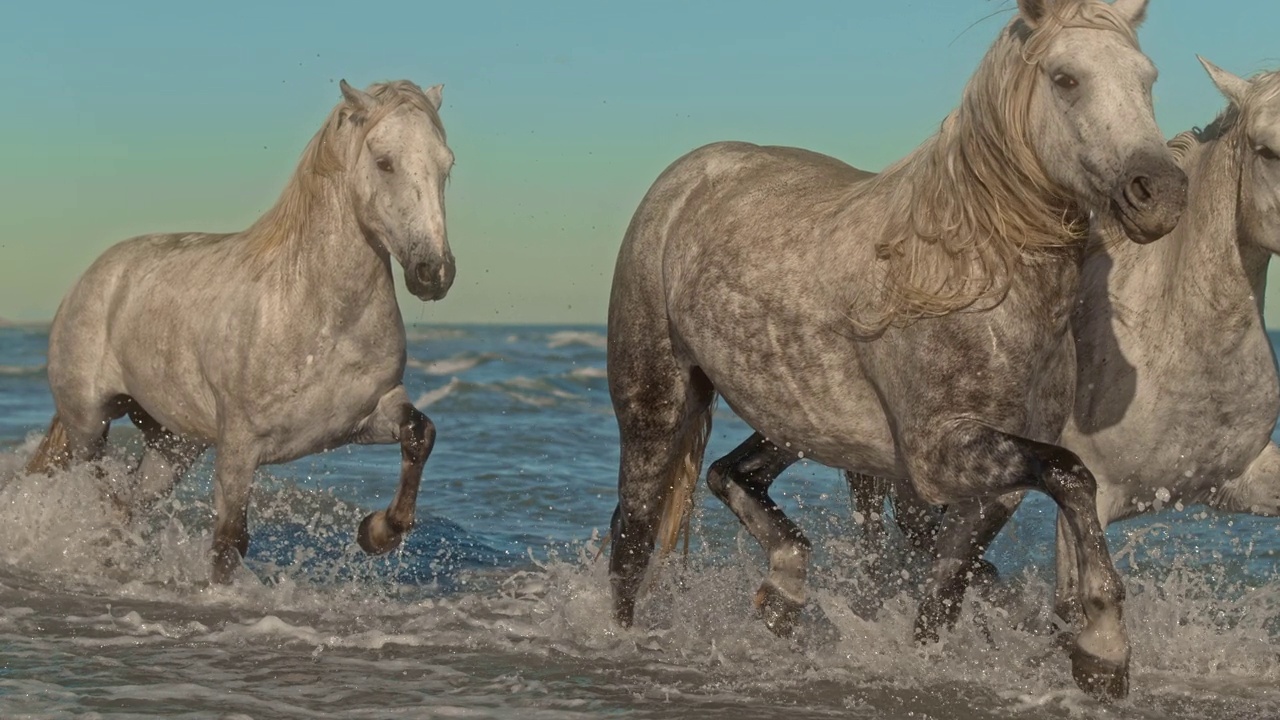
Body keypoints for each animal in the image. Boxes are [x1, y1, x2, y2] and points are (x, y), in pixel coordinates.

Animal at [24, 78, 458, 584]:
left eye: (446, 165)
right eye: (384, 162)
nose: (434, 273)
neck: (319, 317)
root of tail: (93, 277)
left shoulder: (366, 414)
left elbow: (420, 433)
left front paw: (377, 532)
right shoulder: (239, 445)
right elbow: (229, 541)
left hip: (173, 445)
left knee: (125, 505)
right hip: (88, 426)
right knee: (94, 493)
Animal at [604, 0, 1182, 696]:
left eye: (1147, 78)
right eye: (1066, 78)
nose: (1160, 192)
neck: (974, 275)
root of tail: (687, 175)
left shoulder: (992, 486)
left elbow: (942, 594)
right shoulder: (942, 453)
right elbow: (1071, 475)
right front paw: (1103, 650)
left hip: (801, 420)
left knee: (729, 475)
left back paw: (785, 592)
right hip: (655, 402)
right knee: (633, 534)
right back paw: (626, 643)